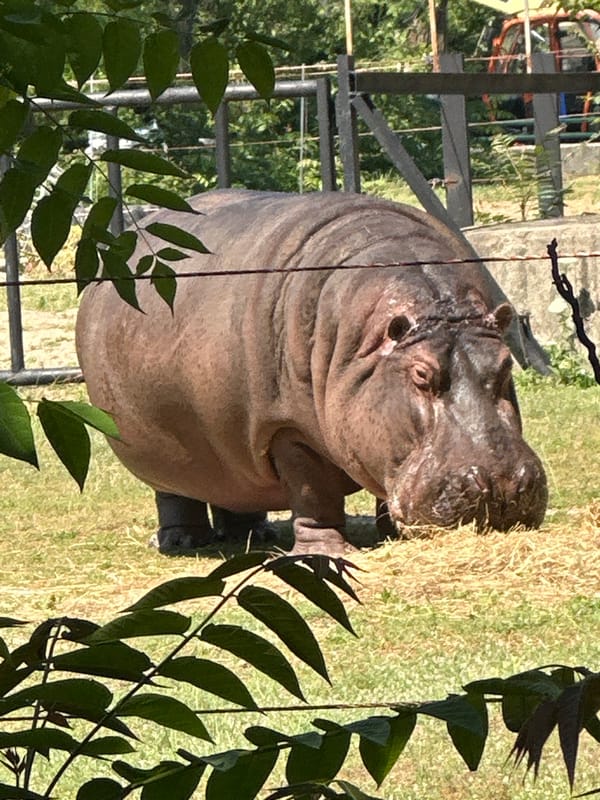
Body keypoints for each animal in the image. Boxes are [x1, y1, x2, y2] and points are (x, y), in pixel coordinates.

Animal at [76, 190, 547, 556]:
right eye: (420, 375)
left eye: (506, 364)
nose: (501, 486)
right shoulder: (287, 429)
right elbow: (313, 492)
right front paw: (328, 553)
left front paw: (391, 534)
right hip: (169, 448)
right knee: (176, 493)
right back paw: (182, 542)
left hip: (229, 437)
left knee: (235, 486)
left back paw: (254, 535)